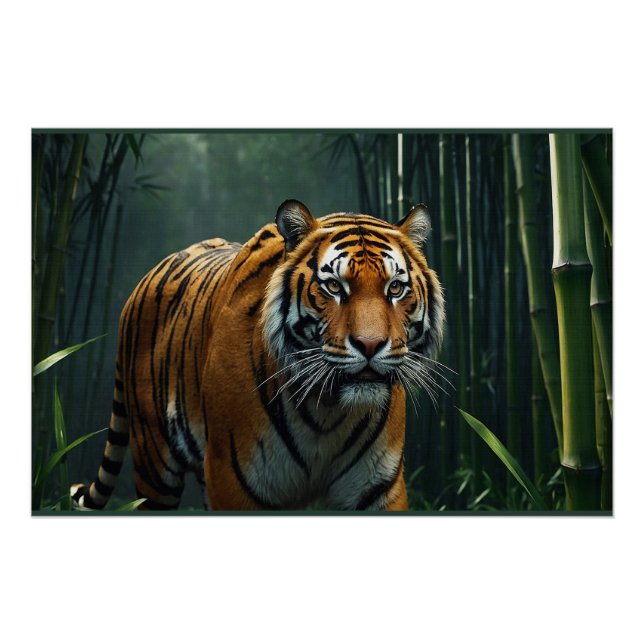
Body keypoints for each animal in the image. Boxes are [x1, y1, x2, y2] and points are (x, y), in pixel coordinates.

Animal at [70, 199, 445, 511]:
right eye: (334, 287)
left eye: (395, 288)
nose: (370, 345)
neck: (327, 410)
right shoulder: (232, 479)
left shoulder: (379, 487)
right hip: (153, 462)